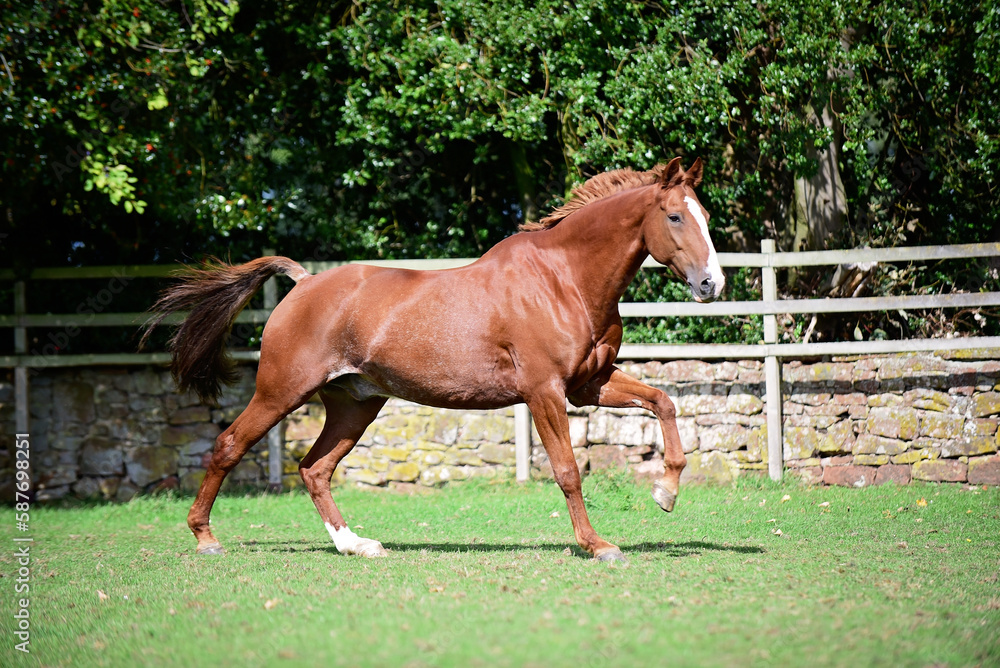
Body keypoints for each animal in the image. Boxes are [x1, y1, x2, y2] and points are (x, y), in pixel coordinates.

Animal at [143, 157, 724, 562]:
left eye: (706, 216)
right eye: (675, 216)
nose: (711, 285)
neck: (564, 280)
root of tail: (303, 282)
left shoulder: (590, 384)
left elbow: (665, 402)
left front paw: (666, 492)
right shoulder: (545, 391)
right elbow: (566, 471)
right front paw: (598, 545)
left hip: (354, 404)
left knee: (314, 469)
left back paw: (357, 545)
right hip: (281, 392)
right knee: (229, 446)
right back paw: (206, 539)